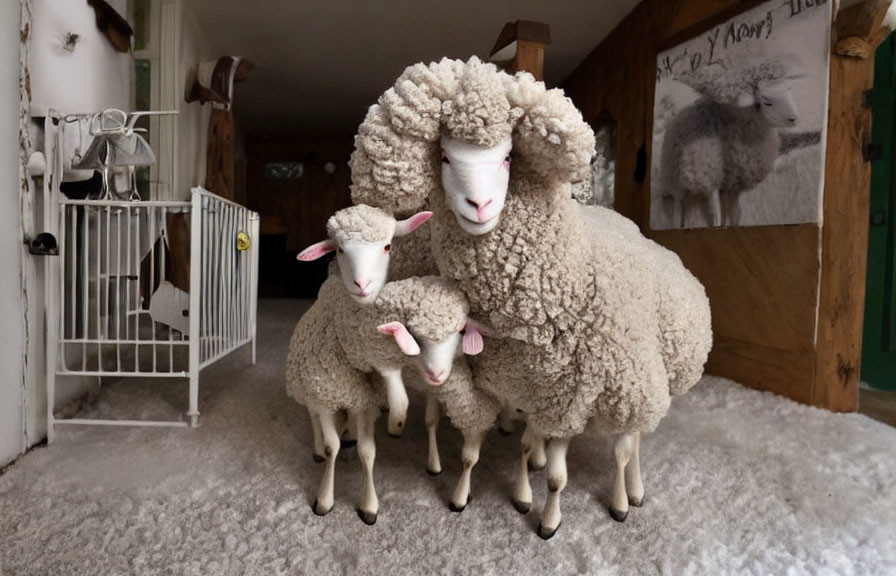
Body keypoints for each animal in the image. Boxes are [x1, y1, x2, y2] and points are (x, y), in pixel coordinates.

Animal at [350, 56, 712, 536]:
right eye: (444, 155)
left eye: (507, 157)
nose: (480, 205)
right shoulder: (533, 386)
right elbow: (521, 449)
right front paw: (522, 493)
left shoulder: (597, 386)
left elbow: (590, 461)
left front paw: (558, 519)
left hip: (642, 382)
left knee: (631, 441)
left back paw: (630, 491)